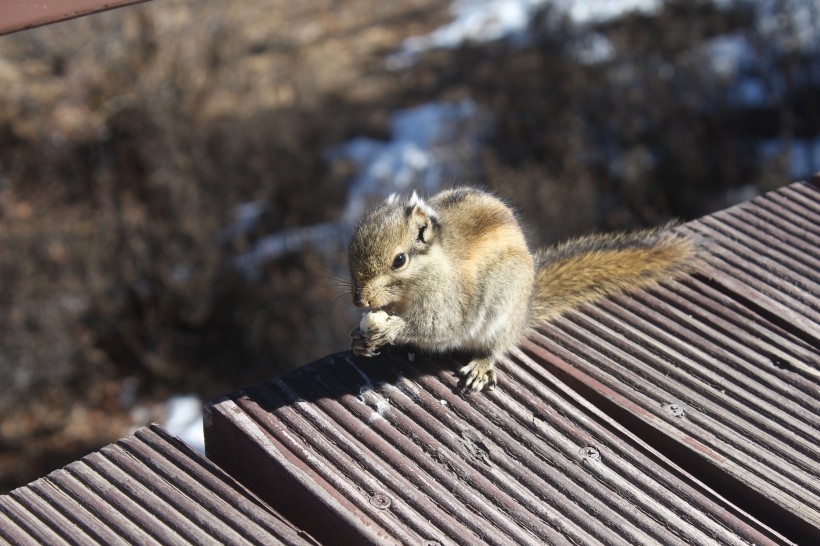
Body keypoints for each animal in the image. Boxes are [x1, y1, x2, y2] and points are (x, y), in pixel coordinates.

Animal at [346, 187, 700, 392]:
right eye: (350, 249)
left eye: (399, 260)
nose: (359, 299)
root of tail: (525, 311)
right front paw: (360, 338)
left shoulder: (450, 302)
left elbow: (437, 327)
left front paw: (391, 329)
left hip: (502, 314)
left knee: (496, 346)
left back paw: (481, 365)